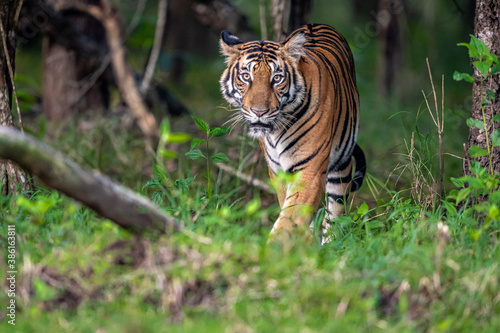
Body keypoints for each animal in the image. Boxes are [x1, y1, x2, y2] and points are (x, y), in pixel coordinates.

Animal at [221, 22, 366, 241]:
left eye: (277, 78)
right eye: (246, 76)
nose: (259, 112)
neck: (276, 132)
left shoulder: (310, 170)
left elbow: (292, 215)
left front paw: (274, 245)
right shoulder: (277, 171)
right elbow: (290, 211)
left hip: (341, 167)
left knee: (334, 214)